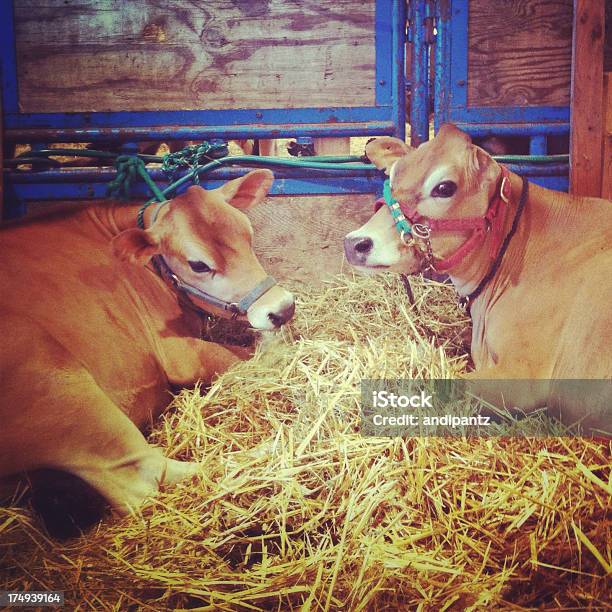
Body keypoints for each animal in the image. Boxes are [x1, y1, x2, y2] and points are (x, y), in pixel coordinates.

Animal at [0, 169, 296, 532]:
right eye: (198, 265)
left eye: (248, 234)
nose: (282, 308)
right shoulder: (179, 354)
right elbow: (233, 356)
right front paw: (278, 348)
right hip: (53, 381)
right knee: (147, 475)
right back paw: (265, 452)